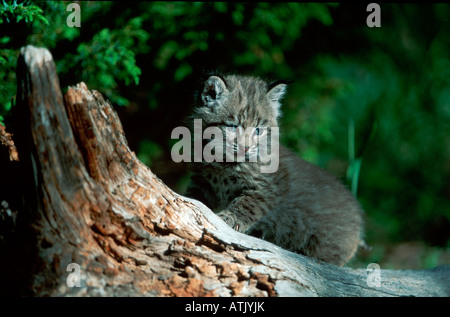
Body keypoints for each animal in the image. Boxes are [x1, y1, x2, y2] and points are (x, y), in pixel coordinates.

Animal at [185, 73, 364, 264]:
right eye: (233, 126)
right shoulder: (202, 181)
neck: (223, 162)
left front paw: (229, 218)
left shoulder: (269, 189)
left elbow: (247, 204)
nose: (246, 148)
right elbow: (194, 199)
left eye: (258, 130)